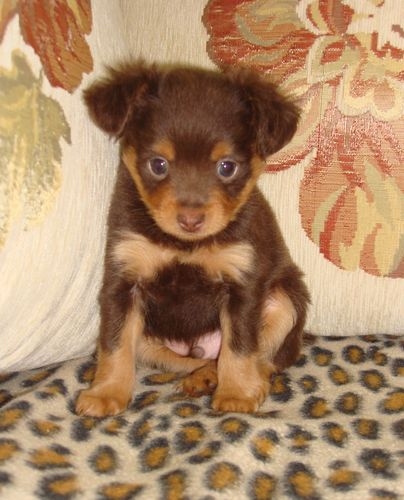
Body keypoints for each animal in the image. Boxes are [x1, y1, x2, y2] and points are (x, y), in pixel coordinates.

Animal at [75, 61, 310, 417]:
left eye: (227, 167)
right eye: (158, 164)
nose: (190, 220)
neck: (184, 246)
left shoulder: (242, 285)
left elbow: (241, 347)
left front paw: (237, 394)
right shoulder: (123, 281)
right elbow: (114, 345)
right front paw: (106, 393)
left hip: (285, 301)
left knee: (267, 359)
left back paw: (238, 382)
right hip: (151, 342)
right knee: (182, 361)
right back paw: (203, 378)